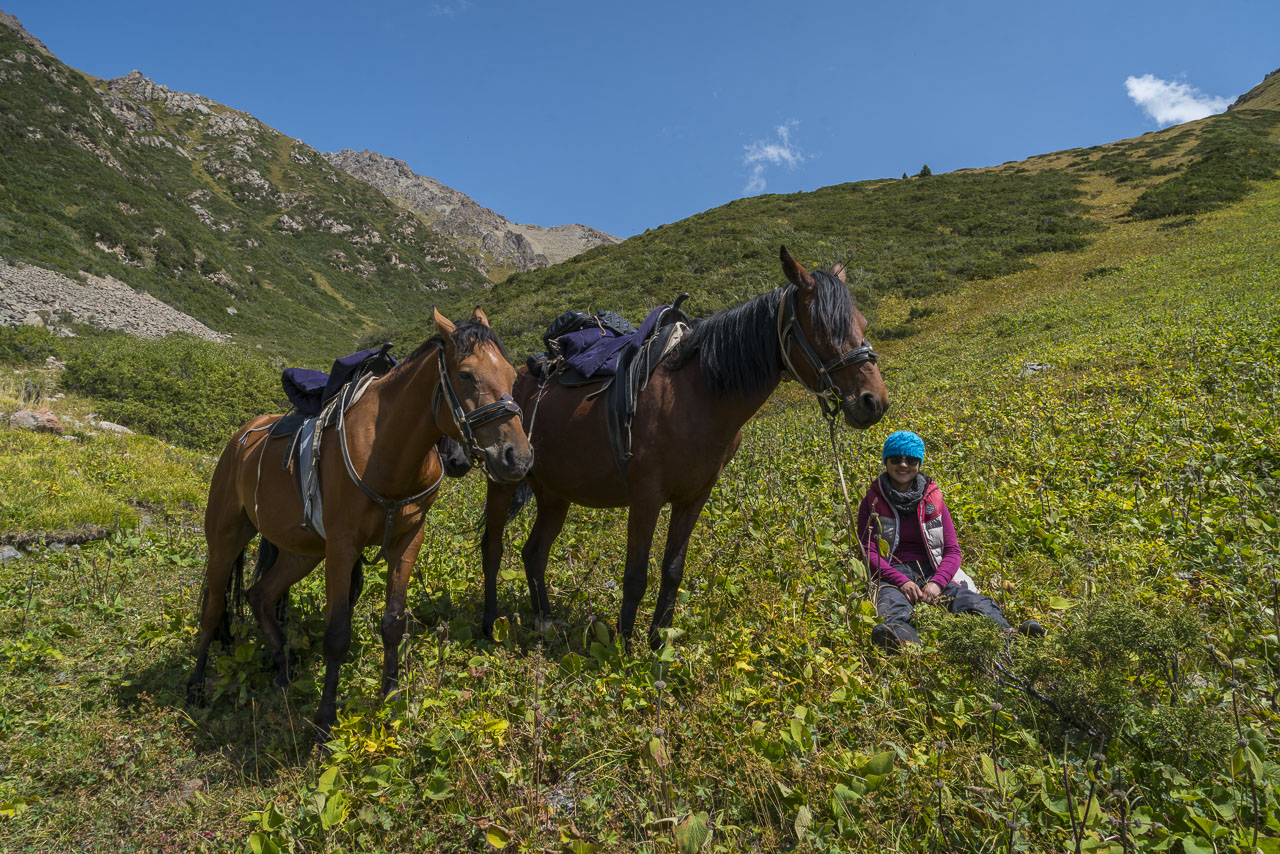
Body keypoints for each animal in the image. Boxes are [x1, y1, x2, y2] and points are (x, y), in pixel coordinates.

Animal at [186, 311, 532, 737]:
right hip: (226, 539)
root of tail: (238, 441)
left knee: (260, 595)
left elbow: (393, 622)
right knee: (213, 609)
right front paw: (324, 721)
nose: (518, 457)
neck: (388, 452)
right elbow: (337, 633)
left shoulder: (406, 540)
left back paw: (283, 669)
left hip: (301, 553)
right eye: (466, 374)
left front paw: (392, 697)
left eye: (512, 376)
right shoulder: (342, 546)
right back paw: (196, 686)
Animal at [481, 247, 890, 647]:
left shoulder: (693, 498)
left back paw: (544, 620)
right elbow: (635, 577)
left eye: (863, 323)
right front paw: (624, 648)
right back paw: (489, 624)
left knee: (534, 553)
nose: (874, 402)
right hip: (503, 482)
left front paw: (658, 643)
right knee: (493, 547)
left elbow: (673, 570)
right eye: (823, 328)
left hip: (554, 494)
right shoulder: (645, 499)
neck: (697, 396)